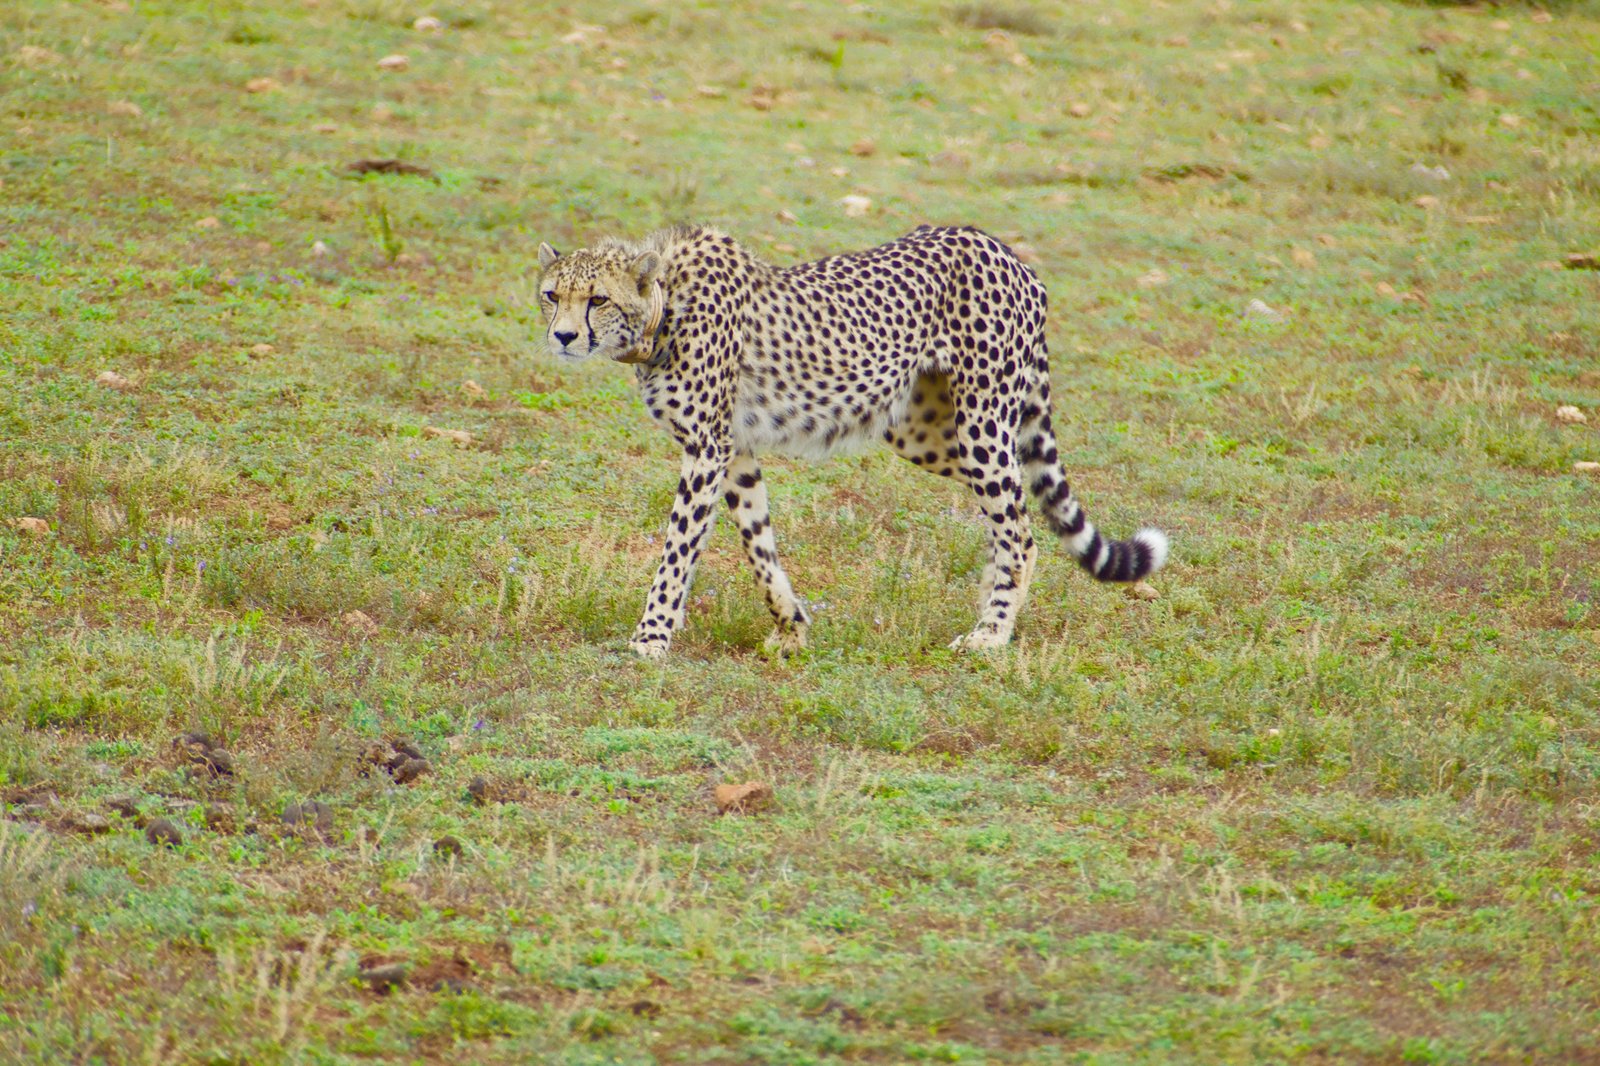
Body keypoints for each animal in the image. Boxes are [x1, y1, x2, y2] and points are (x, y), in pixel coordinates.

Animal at [535, 223, 1168, 659]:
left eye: (597, 299)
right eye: (551, 295)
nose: (562, 337)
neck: (662, 311)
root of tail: (1005, 251)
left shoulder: (707, 449)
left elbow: (677, 551)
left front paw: (651, 637)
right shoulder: (735, 451)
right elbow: (759, 545)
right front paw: (791, 627)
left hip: (982, 424)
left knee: (1020, 530)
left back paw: (992, 632)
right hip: (926, 432)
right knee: (1015, 513)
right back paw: (991, 603)